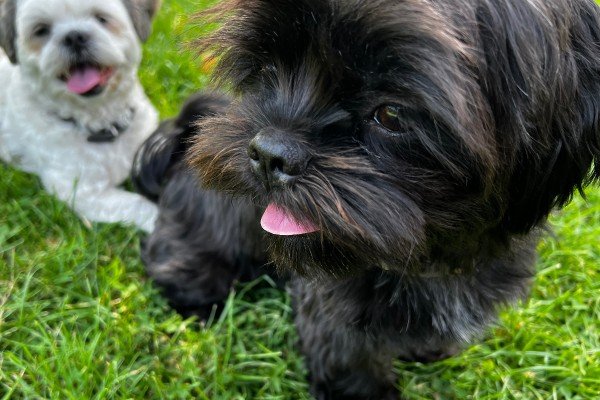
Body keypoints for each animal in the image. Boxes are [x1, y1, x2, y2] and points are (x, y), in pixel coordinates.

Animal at [144, 0, 600, 396]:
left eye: (392, 114)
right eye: (269, 69)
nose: (270, 152)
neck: (431, 258)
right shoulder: (332, 309)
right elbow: (348, 362)